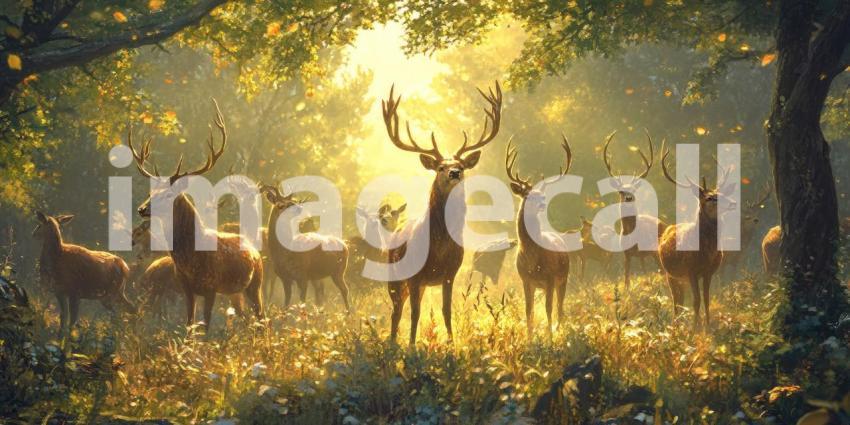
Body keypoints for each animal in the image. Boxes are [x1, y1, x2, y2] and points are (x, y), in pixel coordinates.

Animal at [128, 99, 264, 331]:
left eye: (168, 194)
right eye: (150, 192)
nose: (141, 209)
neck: (190, 259)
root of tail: (254, 247)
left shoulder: (211, 287)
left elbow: (205, 327)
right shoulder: (187, 289)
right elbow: (189, 326)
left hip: (256, 284)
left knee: (263, 319)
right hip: (236, 292)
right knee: (247, 319)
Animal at [382, 82, 502, 345]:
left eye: (461, 165)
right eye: (440, 167)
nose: (455, 172)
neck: (438, 248)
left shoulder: (450, 274)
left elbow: (446, 310)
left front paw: (451, 343)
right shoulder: (415, 276)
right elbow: (415, 313)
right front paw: (412, 346)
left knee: (402, 308)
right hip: (394, 276)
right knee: (396, 311)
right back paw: (393, 343)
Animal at [505, 137, 573, 337]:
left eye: (541, 194)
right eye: (527, 195)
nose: (542, 203)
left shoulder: (550, 278)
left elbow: (548, 309)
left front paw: (549, 338)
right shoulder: (526, 280)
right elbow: (529, 311)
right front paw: (529, 338)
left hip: (563, 277)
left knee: (560, 308)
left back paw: (558, 331)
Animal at [601, 131, 667, 290]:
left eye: (634, 190)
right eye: (620, 191)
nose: (629, 197)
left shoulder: (647, 252)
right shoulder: (627, 254)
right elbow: (626, 279)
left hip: (655, 251)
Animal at [657, 142, 735, 329]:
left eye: (721, 194)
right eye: (709, 198)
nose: (732, 203)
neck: (706, 253)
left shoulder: (709, 272)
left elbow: (706, 299)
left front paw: (707, 325)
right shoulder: (691, 270)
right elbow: (696, 300)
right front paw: (694, 329)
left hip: (680, 277)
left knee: (681, 299)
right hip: (670, 273)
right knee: (675, 300)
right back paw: (676, 325)